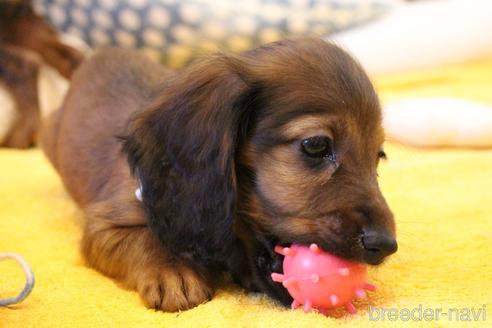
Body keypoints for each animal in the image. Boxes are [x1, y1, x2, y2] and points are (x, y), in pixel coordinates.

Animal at [41, 37, 396, 310]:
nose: (385, 245)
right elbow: (145, 238)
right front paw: (173, 269)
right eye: (316, 145)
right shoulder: (105, 223)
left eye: (378, 156)